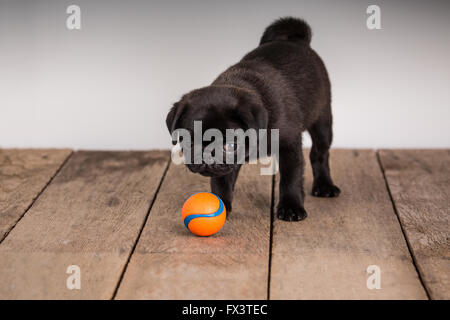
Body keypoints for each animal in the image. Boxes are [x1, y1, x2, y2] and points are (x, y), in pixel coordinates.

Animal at [167, 16, 340, 220]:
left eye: (231, 145)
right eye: (188, 142)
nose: (207, 155)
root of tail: (296, 40)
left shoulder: (289, 146)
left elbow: (291, 177)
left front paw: (291, 207)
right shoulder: (226, 167)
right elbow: (221, 182)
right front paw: (221, 205)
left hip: (322, 119)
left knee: (319, 153)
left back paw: (324, 186)